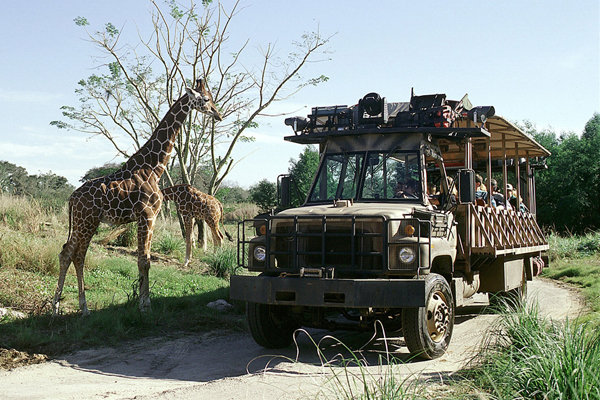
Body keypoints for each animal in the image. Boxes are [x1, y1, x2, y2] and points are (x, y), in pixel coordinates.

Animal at [53, 79, 223, 316]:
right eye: (206, 99)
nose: (218, 114)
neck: (154, 168)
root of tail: (71, 198)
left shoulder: (149, 217)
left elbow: (146, 259)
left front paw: (143, 301)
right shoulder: (147, 215)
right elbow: (144, 260)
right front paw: (145, 305)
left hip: (81, 222)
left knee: (66, 252)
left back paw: (58, 308)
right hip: (88, 221)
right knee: (77, 255)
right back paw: (81, 308)